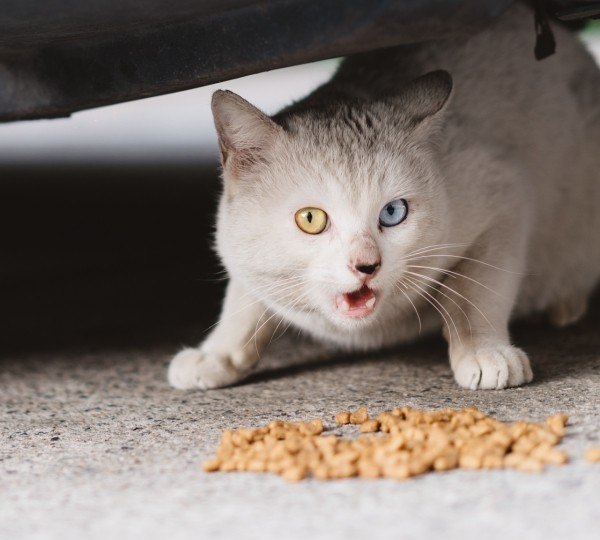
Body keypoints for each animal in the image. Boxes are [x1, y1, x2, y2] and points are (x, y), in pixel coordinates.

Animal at [166, 4, 600, 392]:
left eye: (393, 212)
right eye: (311, 219)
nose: (366, 266)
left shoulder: (503, 194)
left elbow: (476, 290)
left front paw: (483, 350)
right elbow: (243, 299)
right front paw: (217, 355)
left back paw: (565, 302)